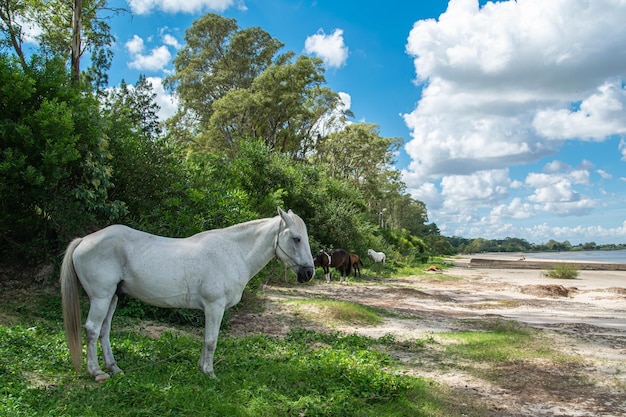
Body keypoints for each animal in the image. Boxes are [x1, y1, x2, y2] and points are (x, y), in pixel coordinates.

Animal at [61, 206, 314, 382]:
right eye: (296, 238)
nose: (309, 273)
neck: (233, 253)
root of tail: (84, 240)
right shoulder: (214, 307)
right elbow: (211, 341)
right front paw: (210, 374)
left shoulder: (211, 310)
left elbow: (205, 339)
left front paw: (202, 369)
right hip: (101, 298)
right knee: (92, 330)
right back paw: (96, 372)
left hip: (113, 297)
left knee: (104, 330)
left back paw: (113, 368)